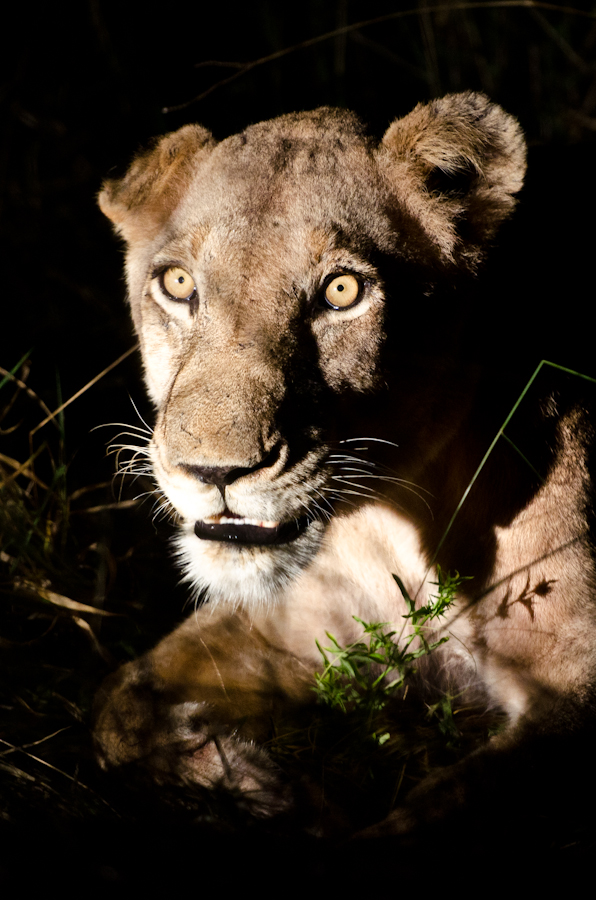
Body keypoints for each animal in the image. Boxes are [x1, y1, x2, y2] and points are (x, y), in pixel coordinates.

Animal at [94, 93, 596, 839]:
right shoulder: (293, 620)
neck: (400, 523)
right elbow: (117, 702)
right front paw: (258, 783)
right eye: (178, 283)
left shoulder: (574, 690)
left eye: (340, 290)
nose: (215, 473)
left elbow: (427, 819)